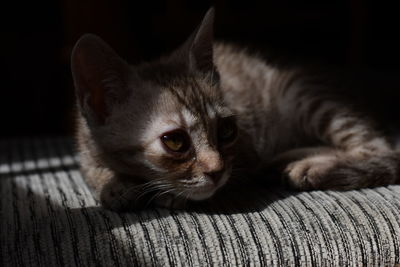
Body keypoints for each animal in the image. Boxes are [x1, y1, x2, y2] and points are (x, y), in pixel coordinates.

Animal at [71, 8, 400, 213]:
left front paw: (167, 193)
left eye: (227, 130)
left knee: (382, 149)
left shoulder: (246, 153)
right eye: (175, 141)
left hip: (305, 95)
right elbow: (91, 169)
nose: (217, 172)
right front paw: (112, 185)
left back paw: (314, 166)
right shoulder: (84, 145)